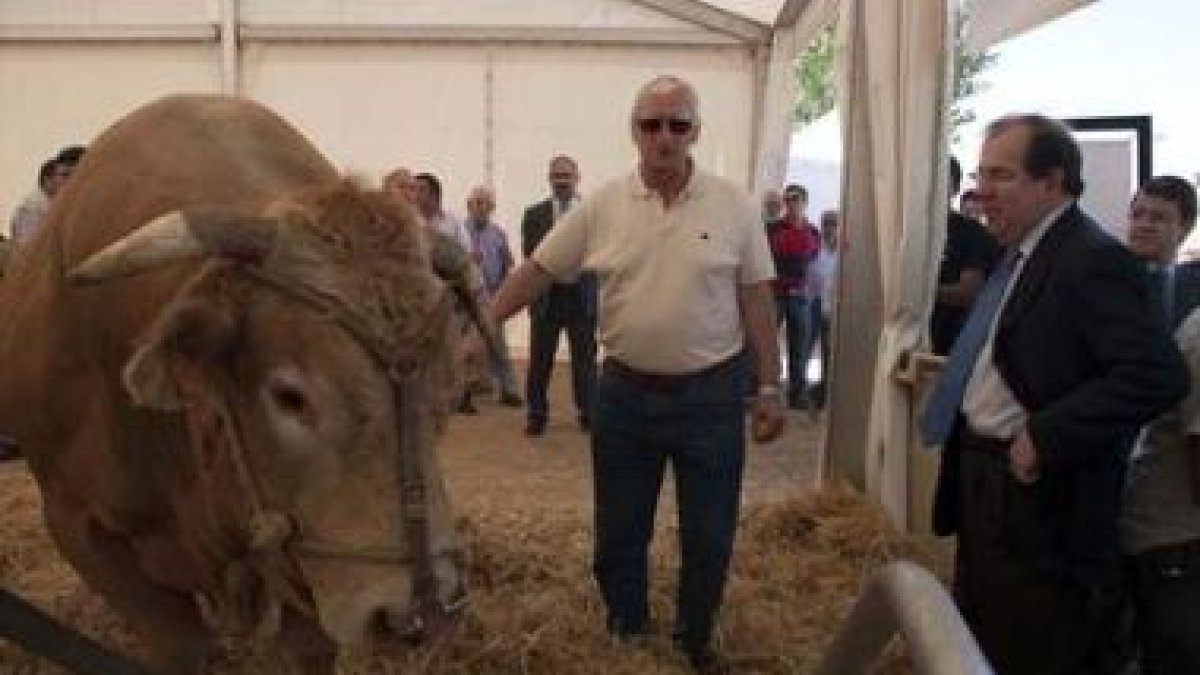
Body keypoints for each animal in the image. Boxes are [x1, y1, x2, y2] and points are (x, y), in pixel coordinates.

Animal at [0, 96, 492, 672]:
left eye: (446, 394)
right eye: (289, 397)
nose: (420, 616)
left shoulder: (297, 559)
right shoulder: (78, 525)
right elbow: (182, 642)